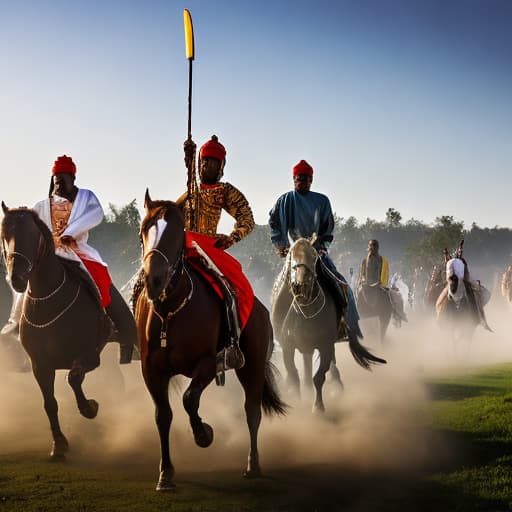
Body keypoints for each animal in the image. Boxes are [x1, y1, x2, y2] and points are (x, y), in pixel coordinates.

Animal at [0, 204, 116, 460]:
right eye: (4, 235)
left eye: (32, 235)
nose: (17, 279)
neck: (47, 300)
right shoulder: (40, 366)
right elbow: (50, 402)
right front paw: (60, 444)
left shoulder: (89, 357)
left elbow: (73, 377)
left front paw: (89, 407)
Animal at [136, 192, 288, 492]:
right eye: (143, 231)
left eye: (177, 233)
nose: (153, 280)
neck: (171, 310)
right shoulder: (151, 371)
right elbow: (163, 416)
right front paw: (166, 474)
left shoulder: (207, 364)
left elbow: (189, 399)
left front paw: (203, 434)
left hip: (251, 366)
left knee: (252, 411)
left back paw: (253, 465)